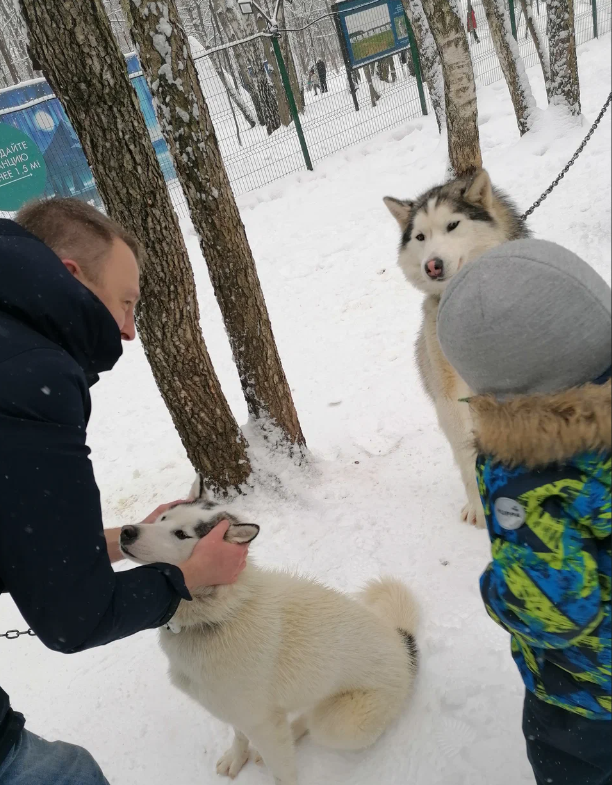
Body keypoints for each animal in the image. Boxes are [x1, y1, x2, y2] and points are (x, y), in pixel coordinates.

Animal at [121, 494, 418, 780]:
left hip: (339, 724)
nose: (126, 532)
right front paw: (237, 757)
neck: (221, 614)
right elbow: (239, 735)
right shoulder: (238, 711)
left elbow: (282, 772)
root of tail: (402, 644)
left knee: (313, 720)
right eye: (162, 518)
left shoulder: (262, 722)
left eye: (181, 534)